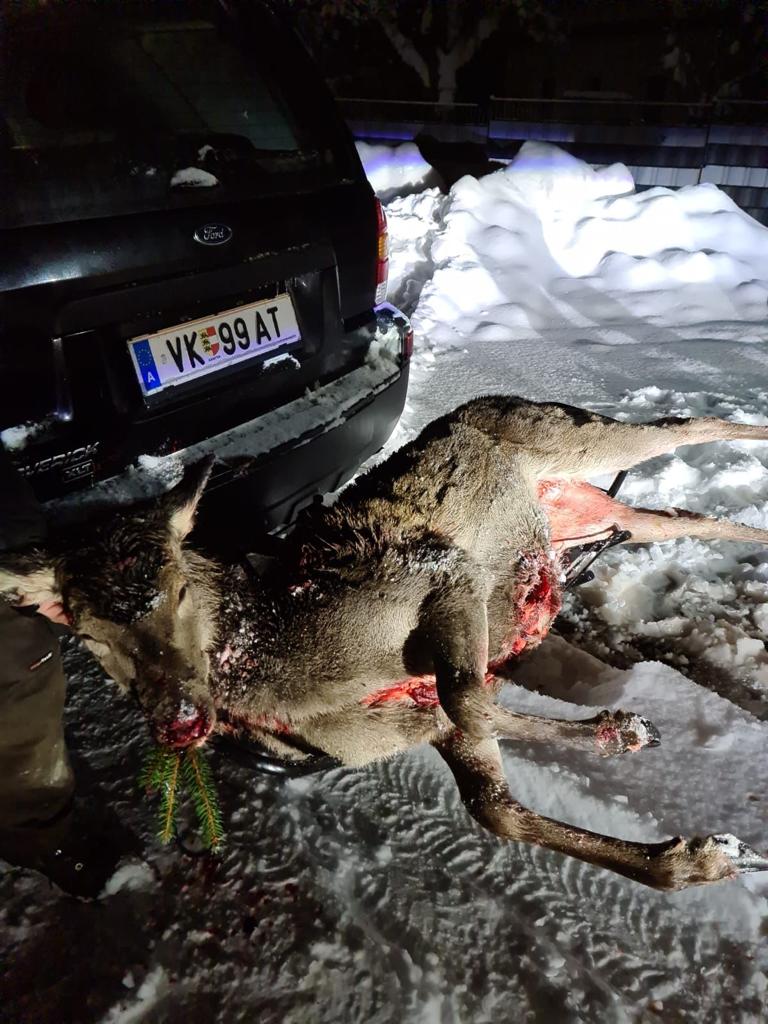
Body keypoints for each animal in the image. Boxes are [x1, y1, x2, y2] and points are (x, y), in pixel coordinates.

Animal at [3, 395, 768, 892]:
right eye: (86, 632)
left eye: (182, 588)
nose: (180, 720)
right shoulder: (404, 724)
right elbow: (494, 806)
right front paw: (704, 854)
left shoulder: (438, 572)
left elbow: (467, 697)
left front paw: (623, 731)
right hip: (596, 510)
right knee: (676, 514)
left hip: (572, 437)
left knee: (679, 427)